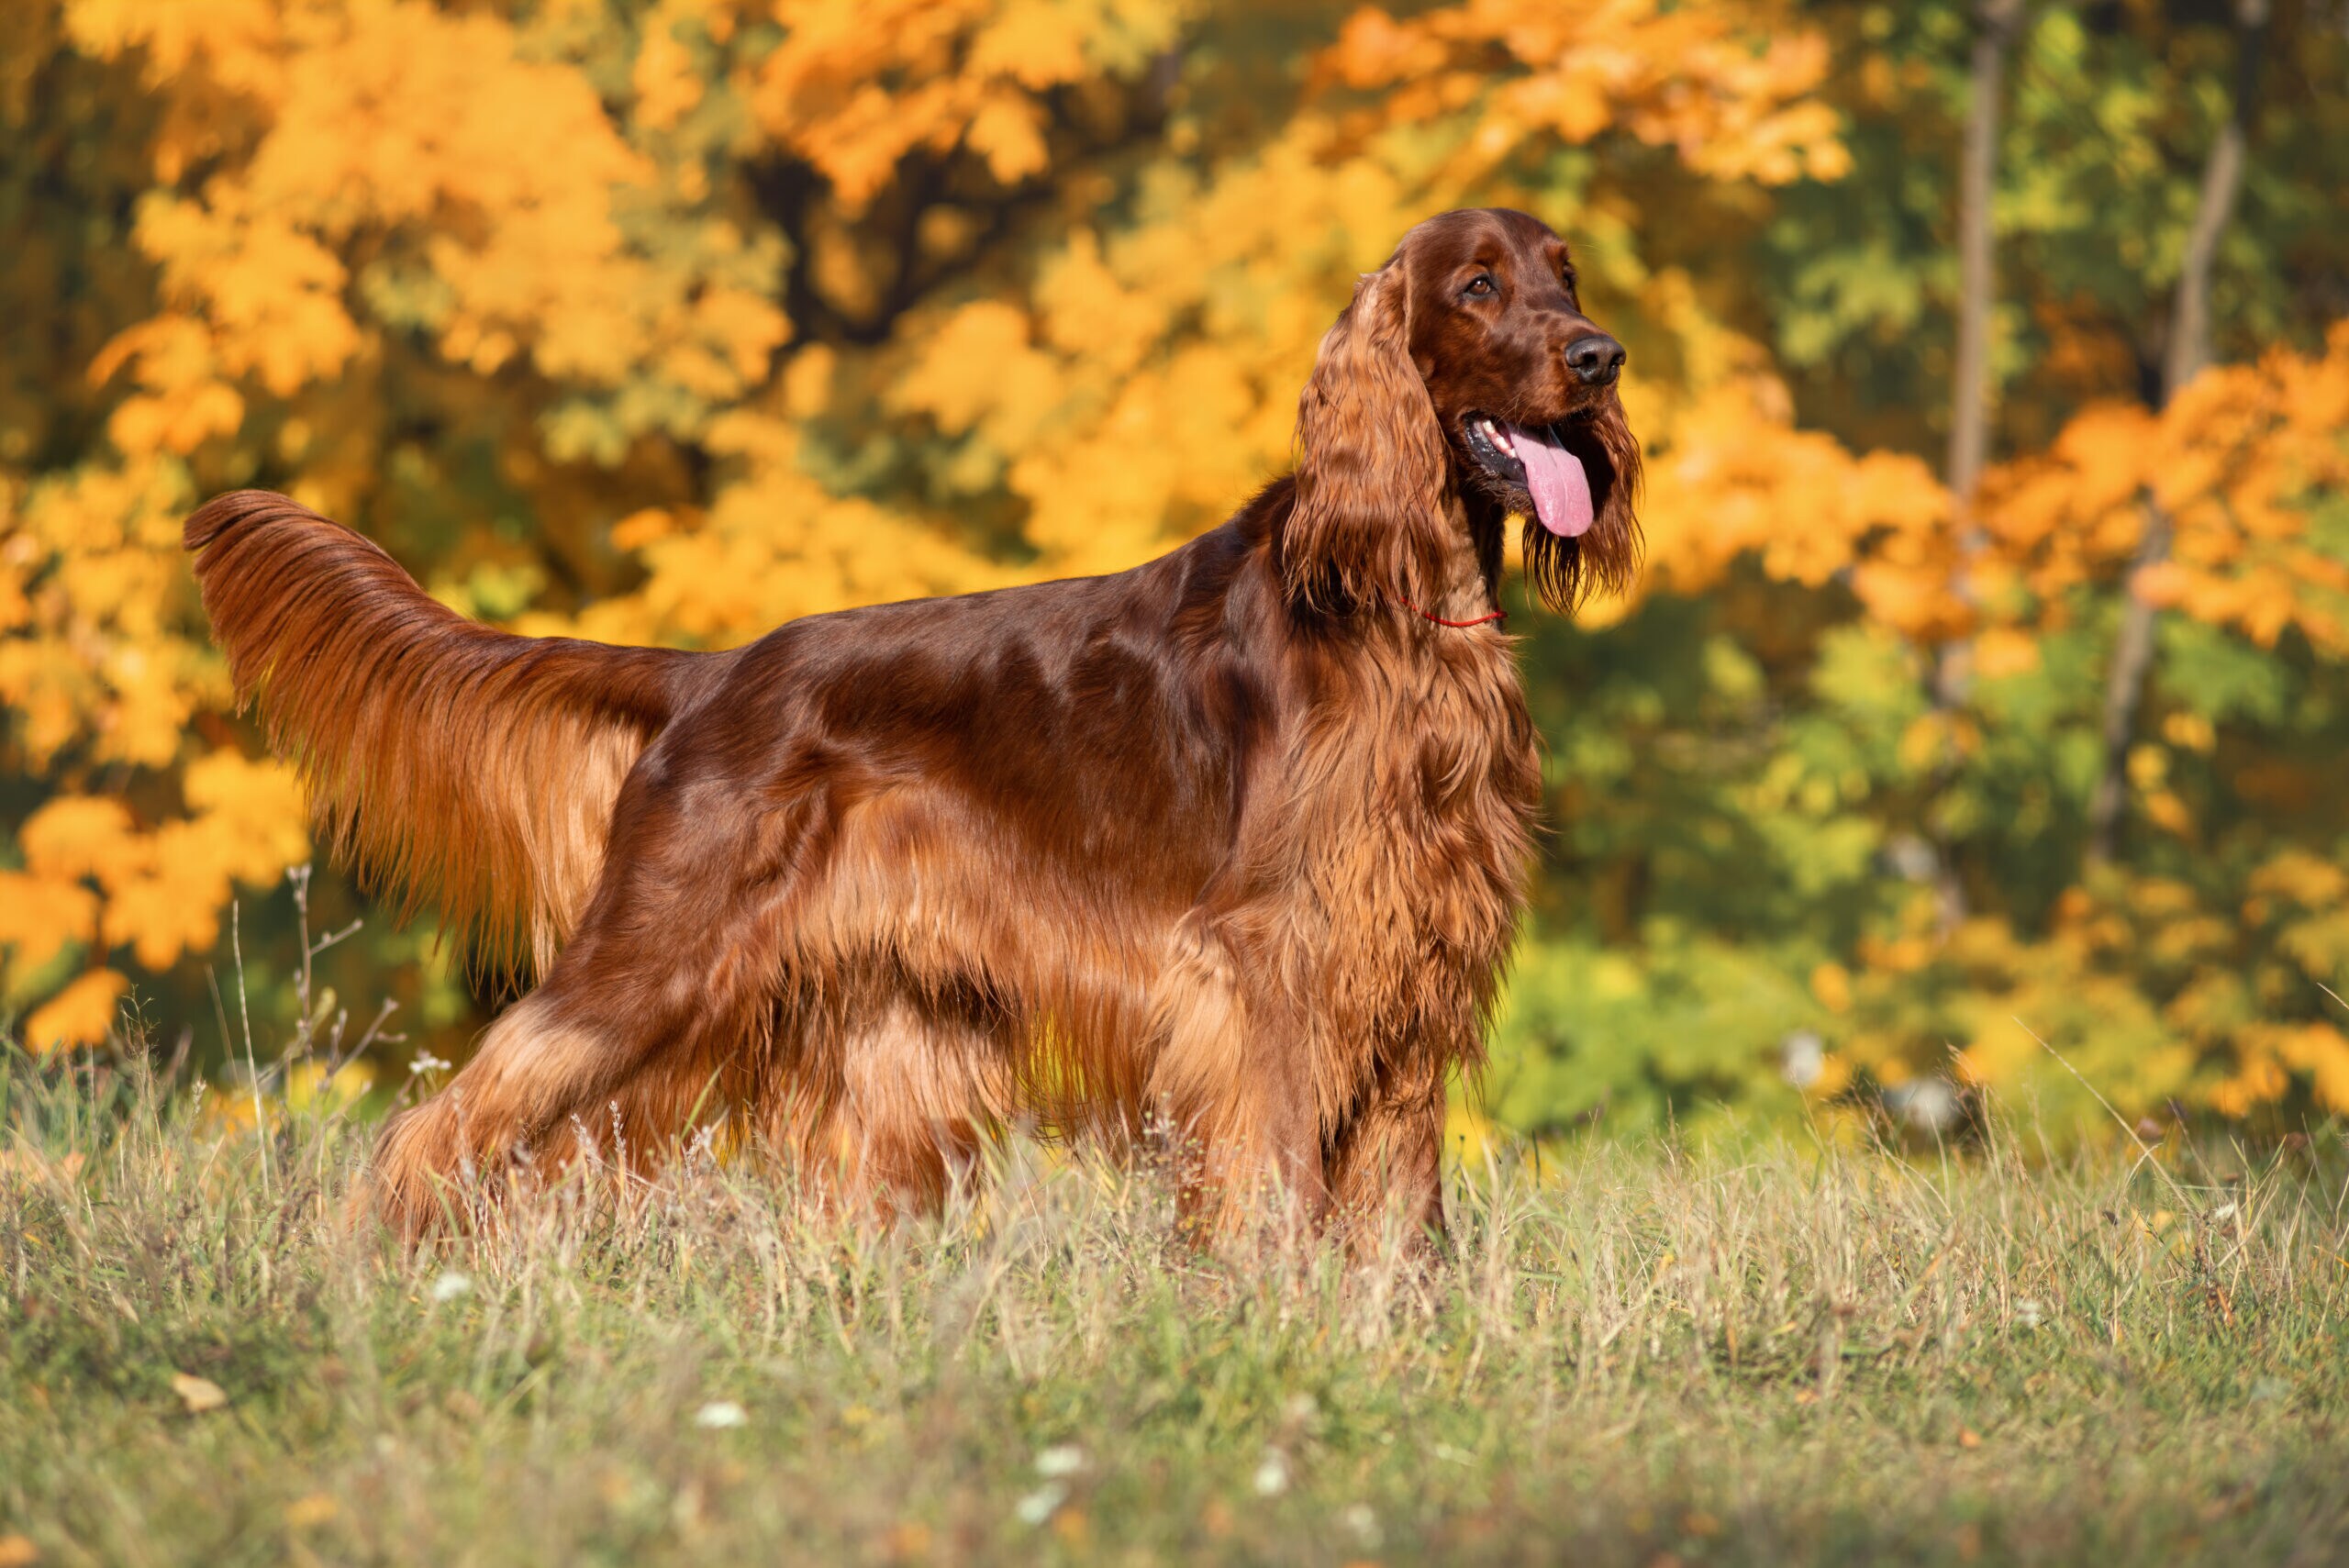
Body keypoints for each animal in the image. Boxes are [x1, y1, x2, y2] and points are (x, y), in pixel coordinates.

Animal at [187, 205, 1634, 1239]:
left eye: (1566, 274)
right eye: (1477, 287)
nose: (1600, 354)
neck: (1399, 603)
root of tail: (711, 673)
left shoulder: (1407, 950)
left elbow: (1401, 1215)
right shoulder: (1270, 960)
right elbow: (1269, 1181)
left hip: (895, 1043)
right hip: (648, 963)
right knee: (447, 1124)